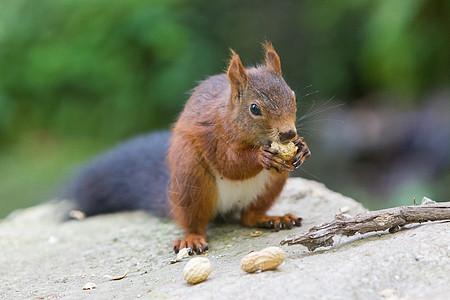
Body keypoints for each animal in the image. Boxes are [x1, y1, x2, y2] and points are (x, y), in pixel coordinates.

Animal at [70, 41, 310, 253]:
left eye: (294, 97)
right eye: (254, 108)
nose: (288, 133)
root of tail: (226, 209)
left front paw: (303, 148)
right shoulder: (214, 135)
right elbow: (230, 164)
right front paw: (262, 157)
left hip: (271, 184)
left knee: (248, 216)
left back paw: (272, 218)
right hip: (191, 178)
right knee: (194, 222)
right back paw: (192, 239)